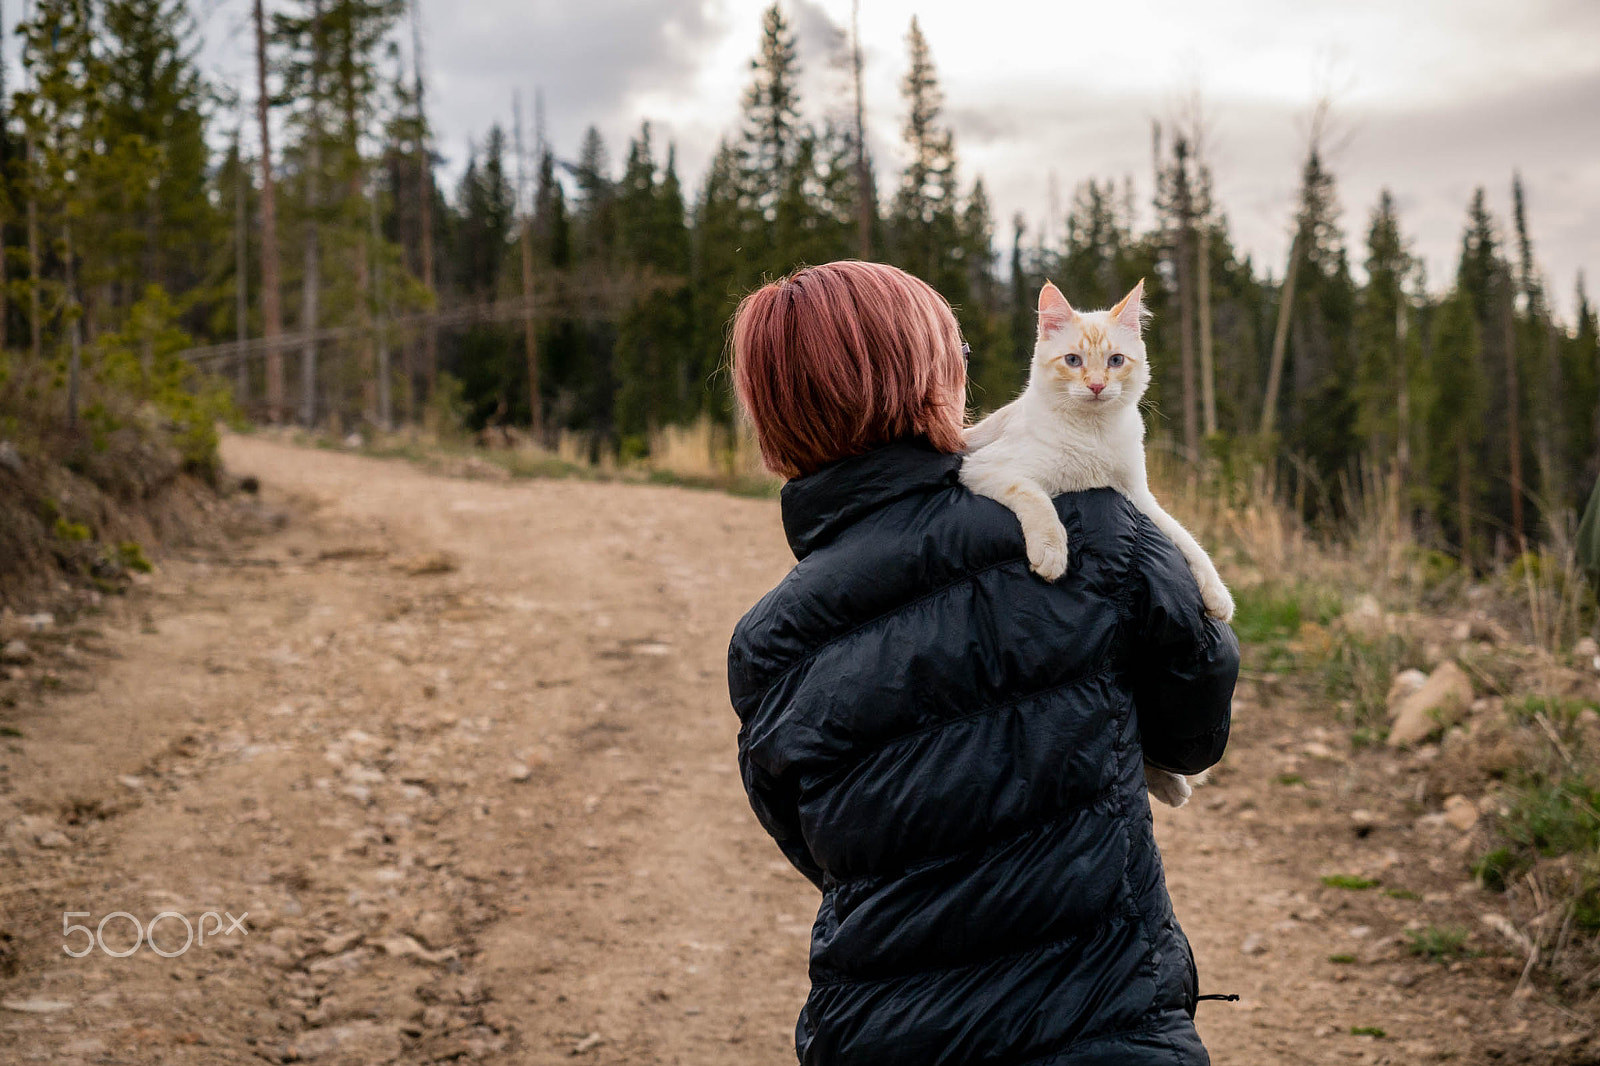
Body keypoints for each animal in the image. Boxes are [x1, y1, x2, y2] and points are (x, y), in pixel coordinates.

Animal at [960, 278, 1235, 800]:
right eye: (1072, 360)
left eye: (1115, 361)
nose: (1095, 385)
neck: (1093, 437)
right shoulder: (985, 470)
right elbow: (1036, 499)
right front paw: (1051, 552)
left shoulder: (1139, 499)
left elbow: (1188, 543)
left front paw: (1216, 594)